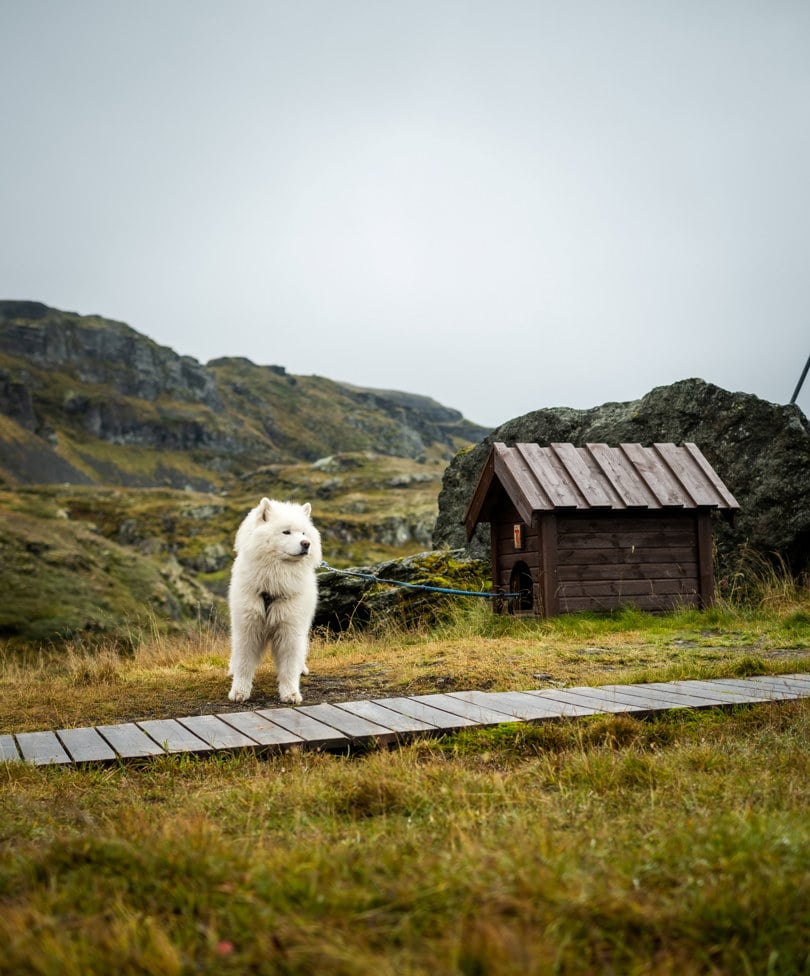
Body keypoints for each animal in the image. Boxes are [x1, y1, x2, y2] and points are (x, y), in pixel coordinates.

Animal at [226, 500, 320, 704]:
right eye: (286, 532)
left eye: (303, 533)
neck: (274, 581)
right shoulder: (248, 627)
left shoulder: (290, 629)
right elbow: (244, 664)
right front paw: (239, 691)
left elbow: (289, 667)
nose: (306, 544)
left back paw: (302, 668)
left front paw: (290, 693)